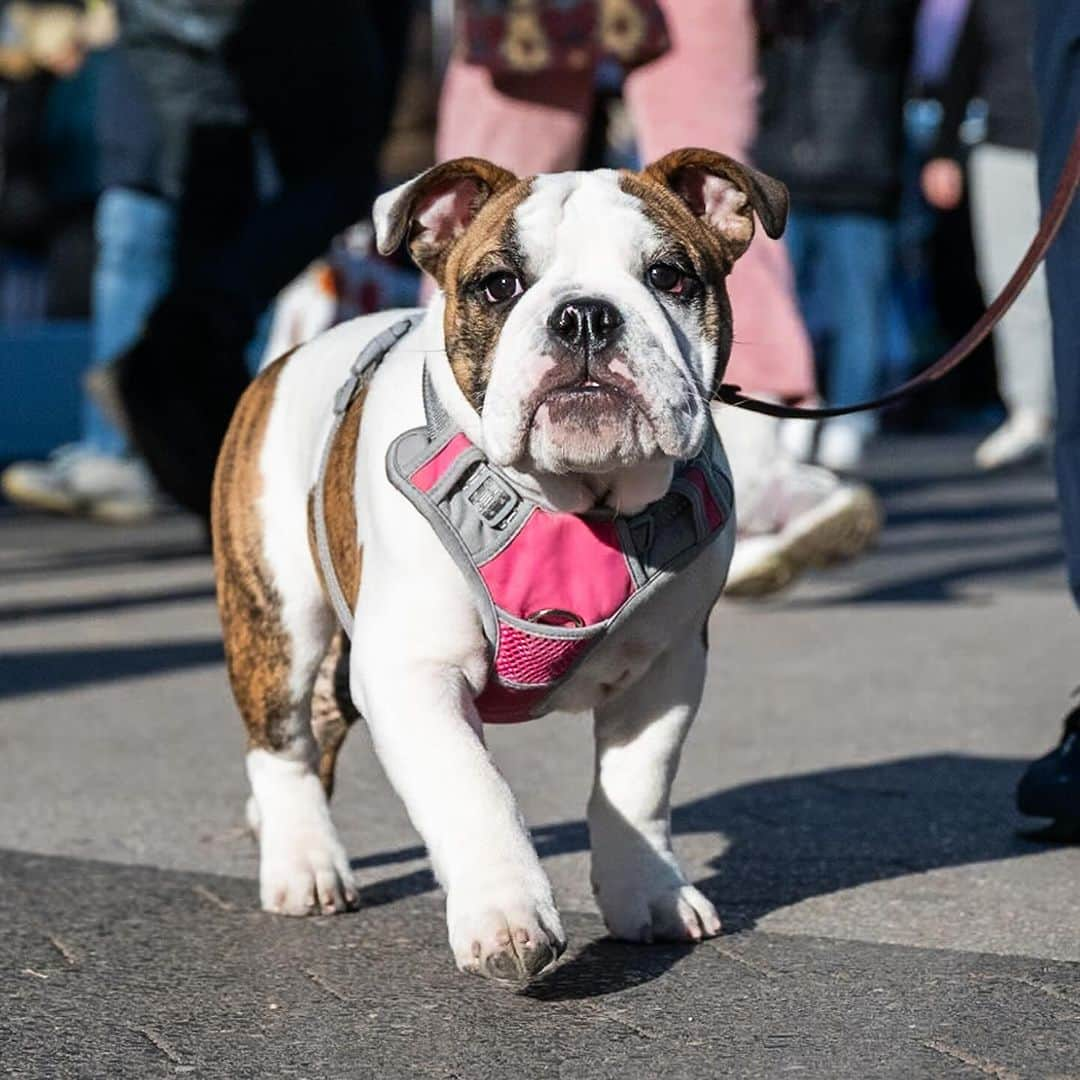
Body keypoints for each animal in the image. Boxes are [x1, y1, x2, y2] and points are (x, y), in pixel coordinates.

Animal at [212, 147, 786, 984]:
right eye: (500, 285)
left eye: (670, 277)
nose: (585, 315)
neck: (576, 500)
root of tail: (288, 356)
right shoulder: (413, 672)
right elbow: (472, 790)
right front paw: (506, 916)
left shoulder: (666, 666)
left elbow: (637, 786)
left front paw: (649, 893)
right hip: (278, 615)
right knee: (281, 741)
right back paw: (305, 863)